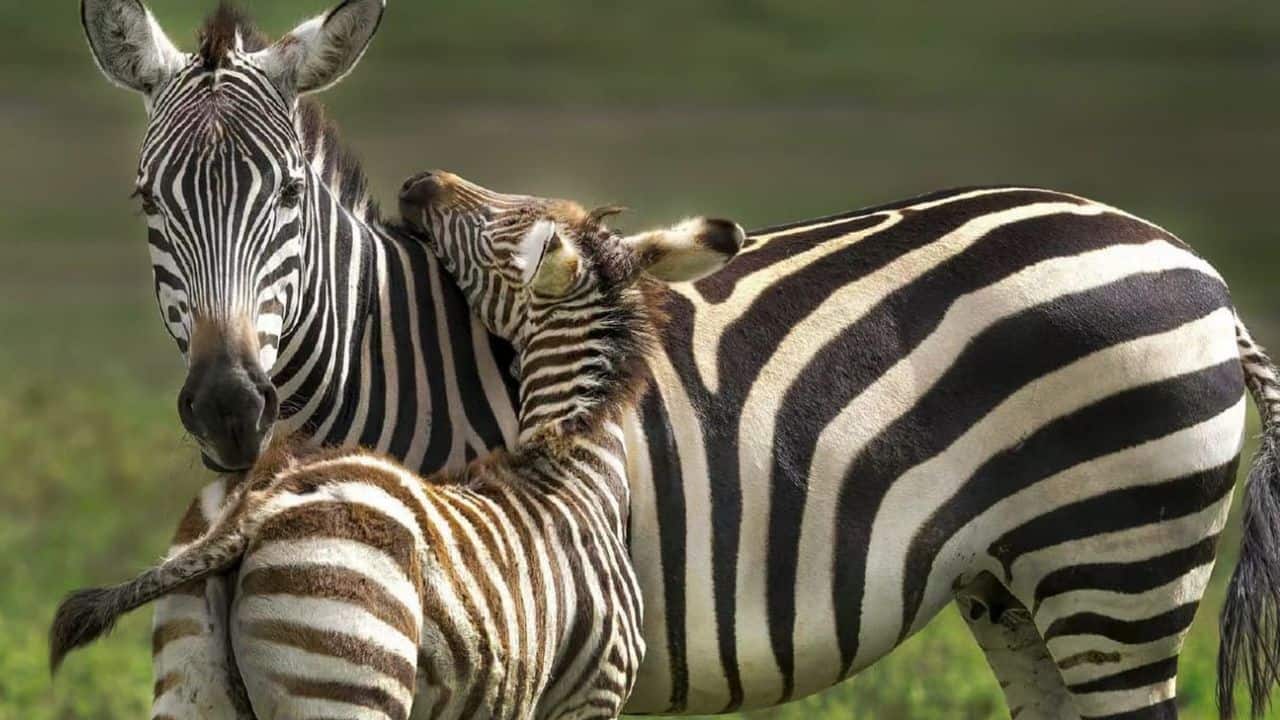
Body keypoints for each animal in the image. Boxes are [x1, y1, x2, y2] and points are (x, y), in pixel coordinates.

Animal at [50, 183, 748, 718]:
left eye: (498, 227)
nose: (419, 185)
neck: (573, 467)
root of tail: (255, 510)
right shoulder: (591, 691)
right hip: (348, 667)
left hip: (191, 681)